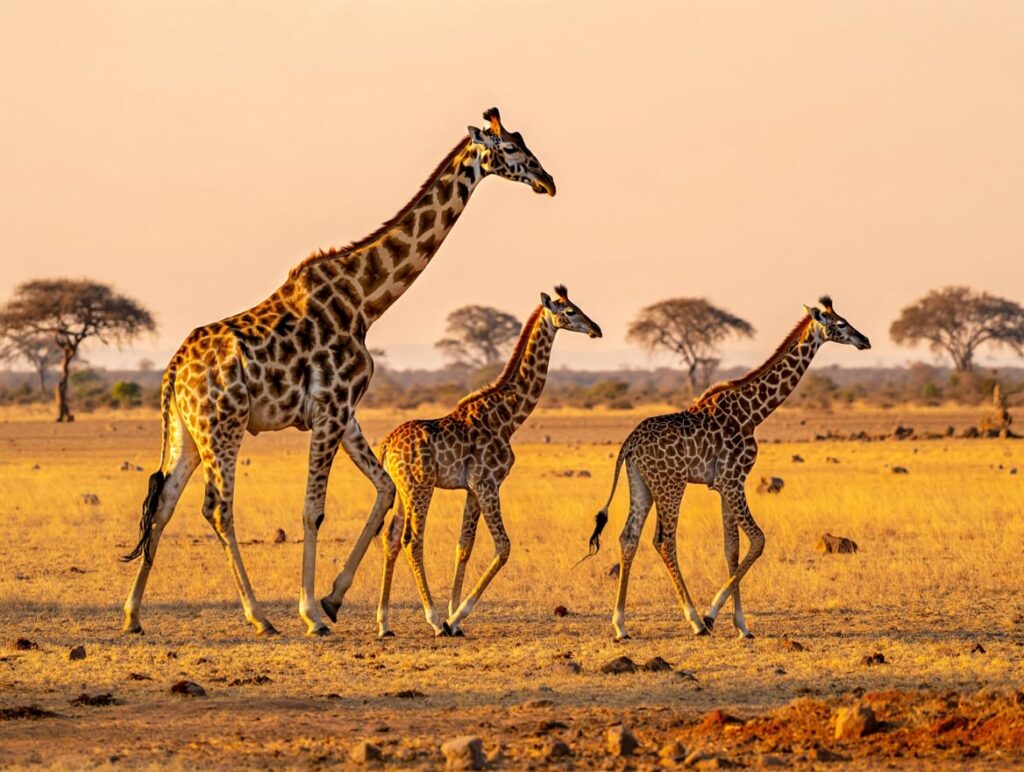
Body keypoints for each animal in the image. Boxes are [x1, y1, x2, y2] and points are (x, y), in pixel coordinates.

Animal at [120, 108, 557, 637]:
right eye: (511, 149)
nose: (548, 181)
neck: (366, 301)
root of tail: (172, 371)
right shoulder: (330, 408)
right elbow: (314, 509)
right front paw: (312, 613)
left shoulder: (345, 411)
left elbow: (385, 490)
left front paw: (333, 598)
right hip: (223, 425)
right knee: (217, 509)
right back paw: (259, 617)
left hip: (187, 431)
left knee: (163, 503)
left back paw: (133, 613)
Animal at [374, 286, 602, 638]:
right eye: (570, 311)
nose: (596, 329)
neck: (508, 418)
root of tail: (386, 445)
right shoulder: (488, 482)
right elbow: (503, 546)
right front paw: (453, 618)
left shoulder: (472, 488)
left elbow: (464, 545)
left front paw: (454, 616)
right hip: (420, 487)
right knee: (412, 541)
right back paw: (432, 619)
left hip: (402, 489)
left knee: (391, 539)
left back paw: (384, 623)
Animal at [583, 297, 870, 641]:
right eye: (840, 324)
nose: (864, 340)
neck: (752, 412)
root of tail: (630, 442)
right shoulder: (734, 479)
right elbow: (758, 540)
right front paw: (712, 616)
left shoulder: (722, 484)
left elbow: (731, 548)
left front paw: (742, 625)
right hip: (671, 484)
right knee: (664, 540)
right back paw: (694, 620)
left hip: (641, 483)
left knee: (629, 537)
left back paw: (620, 625)